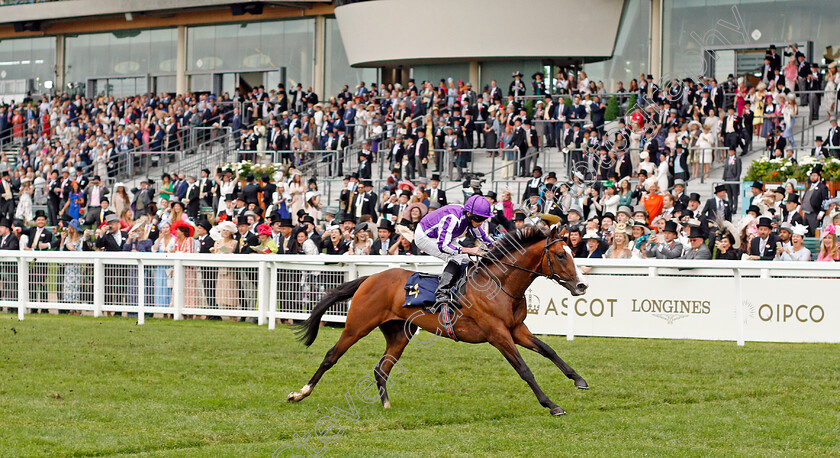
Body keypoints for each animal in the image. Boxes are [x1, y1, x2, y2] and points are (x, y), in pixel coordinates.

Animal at [288, 225, 592, 416]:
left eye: (573, 253)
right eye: (561, 255)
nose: (582, 286)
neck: (500, 285)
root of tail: (370, 277)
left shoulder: (517, 329)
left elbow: (549, 350)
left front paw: (579, 379)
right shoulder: (498, 334)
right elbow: (525, 370)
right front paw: (551, 405)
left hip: (399, 334)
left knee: (381, 368)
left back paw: (386, 405)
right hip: (357, 325)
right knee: (331, 356)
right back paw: (300, 393)